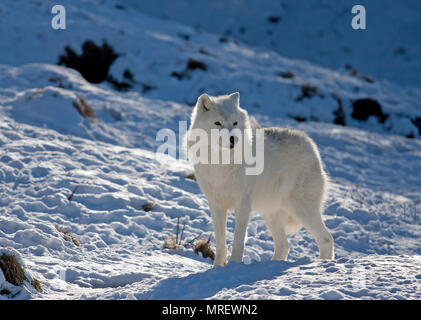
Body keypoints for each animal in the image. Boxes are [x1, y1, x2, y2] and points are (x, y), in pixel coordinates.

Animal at [185, 92, 334, 268]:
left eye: (235, 123)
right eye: (218, 123)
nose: (233, 139)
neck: (220, 162)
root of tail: (311, 146)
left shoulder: (242, 205)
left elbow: (238, 242)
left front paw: (233, 266)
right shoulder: (216, 205)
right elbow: (221, 244)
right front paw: (217, 269)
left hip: (302, 210)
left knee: (326, 239)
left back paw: (322, 265)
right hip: (272, 215)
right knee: (284, 246)